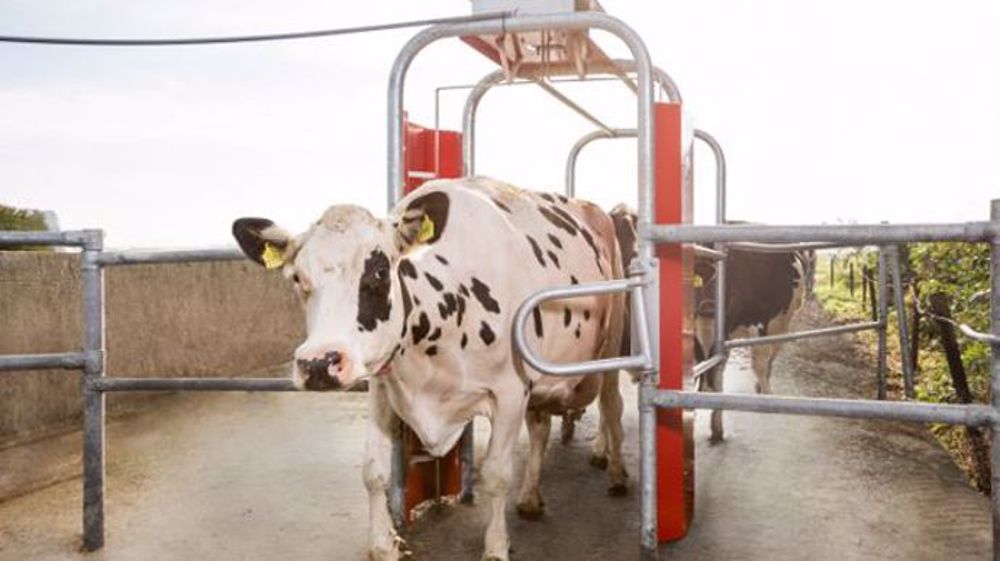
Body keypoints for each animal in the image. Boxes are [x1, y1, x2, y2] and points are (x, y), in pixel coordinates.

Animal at [232, 177, 628, 561]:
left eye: (380, 271)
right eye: (298, 277)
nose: (318, 363)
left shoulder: (511, 391)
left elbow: (496, 475)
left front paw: (495, 547)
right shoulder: (382, 387)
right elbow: (373, 471)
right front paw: (383, 545)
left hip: (611, 349)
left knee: (612, 409)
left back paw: (617, 473)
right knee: (541, 427)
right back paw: (530, 497)